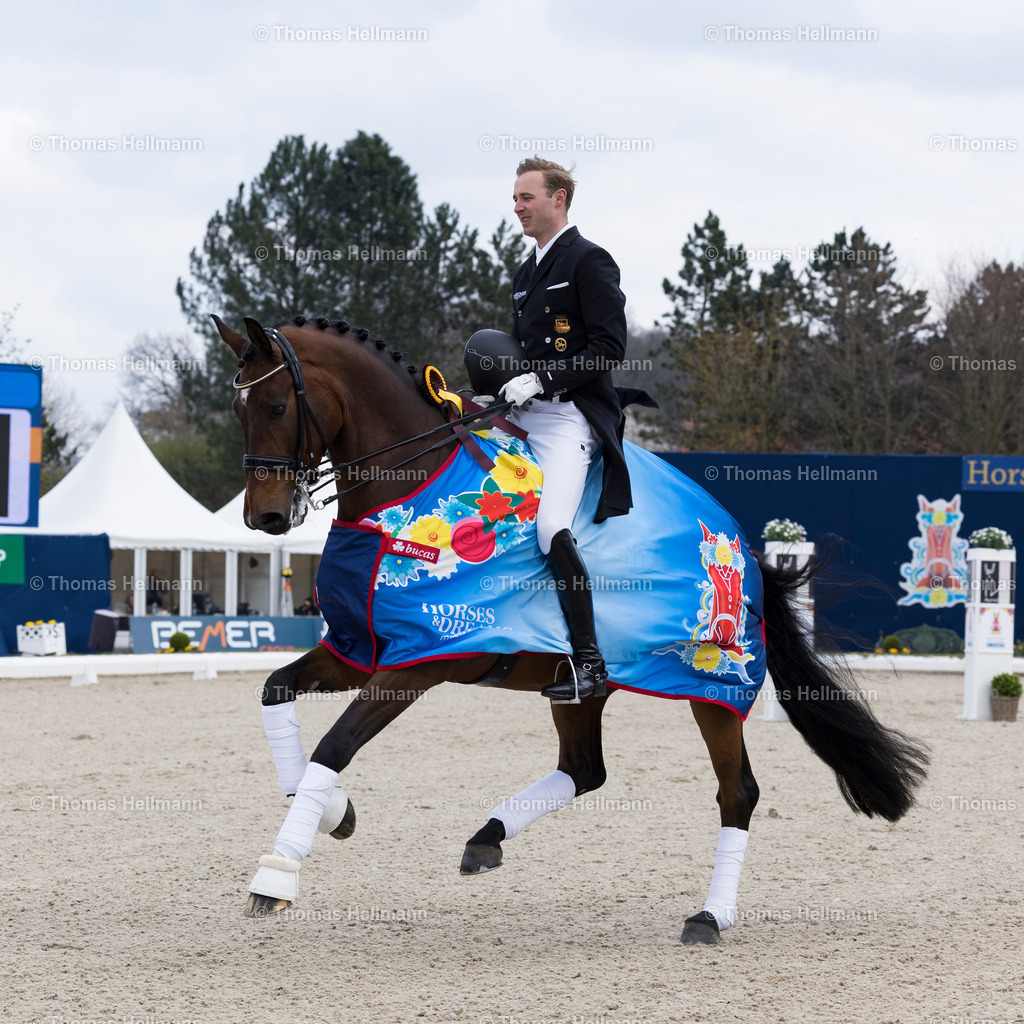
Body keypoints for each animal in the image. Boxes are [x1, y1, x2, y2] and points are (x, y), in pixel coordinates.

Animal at [213, 312, 929, 946]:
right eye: (238, 410)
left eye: (274, 407)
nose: (265, 518)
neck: (407, 491)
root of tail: (745, 546)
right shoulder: (354, 651)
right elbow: (276, 696)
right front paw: (336, 812)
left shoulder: (419, 662)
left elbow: (333, 748)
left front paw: (276, 876)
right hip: (576, 684)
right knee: (584, 769)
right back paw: (488, 836)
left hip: (714, 684)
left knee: (738, 793)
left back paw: (709, 917)